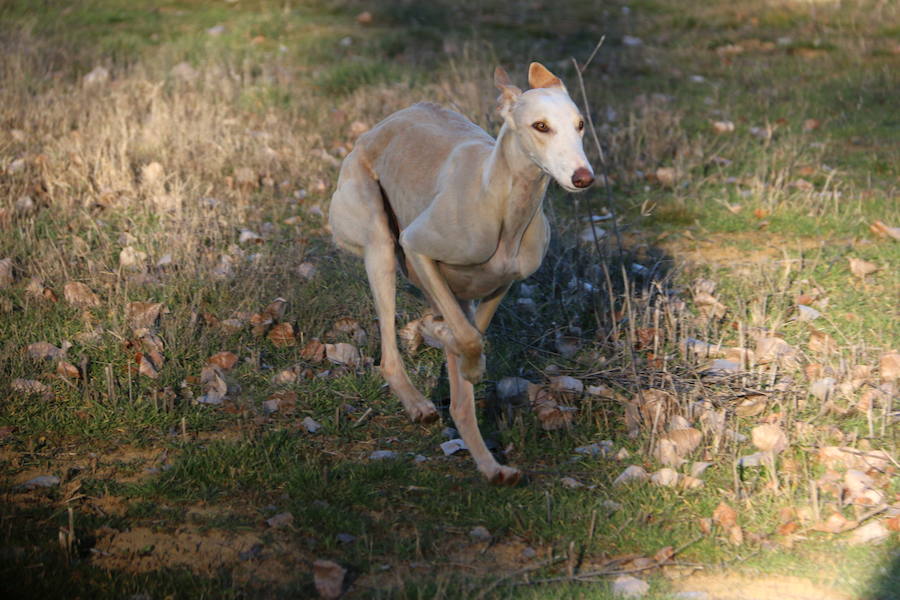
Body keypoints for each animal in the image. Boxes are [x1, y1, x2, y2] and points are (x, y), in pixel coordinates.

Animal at [326, 62, 596, 482]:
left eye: (580, 124)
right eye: (540, 126)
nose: (583, 177)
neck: (503, 202)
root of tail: (382, 124)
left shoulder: (498, 287)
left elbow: (471, 339)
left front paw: (439, 338)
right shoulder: (416, 247)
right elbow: (468, 341)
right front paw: (452, 349)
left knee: (458, 398)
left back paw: (491, 466)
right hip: (380, 244)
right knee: (389, 356)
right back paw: (418, 402)